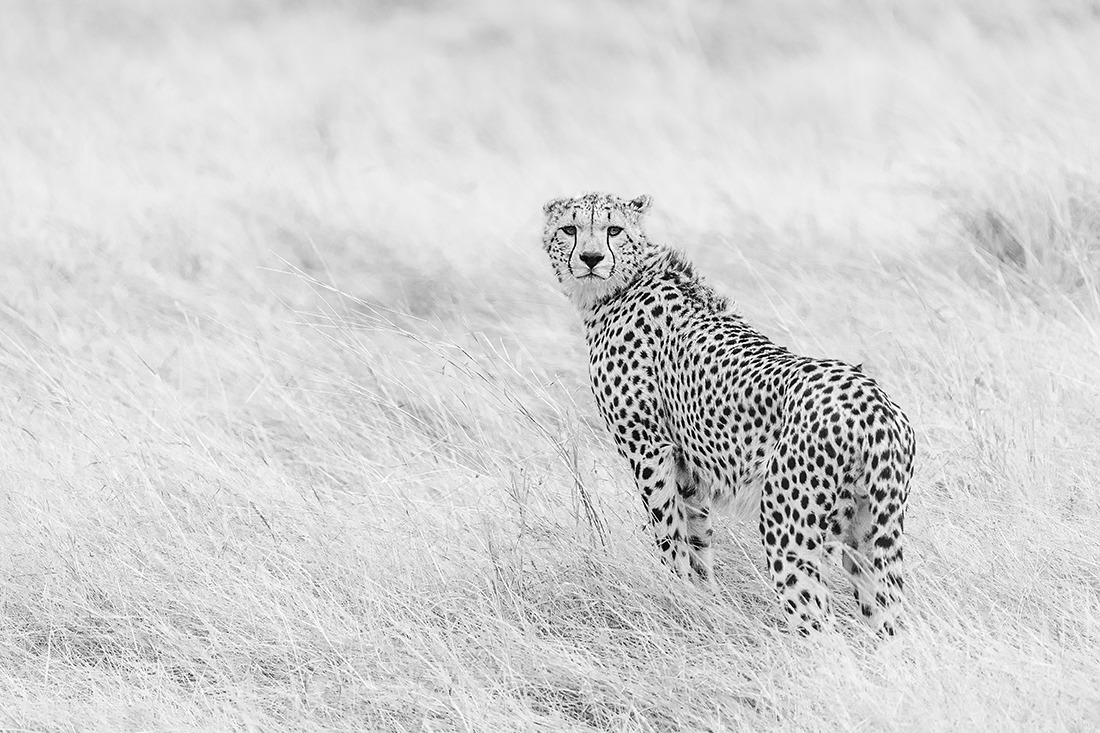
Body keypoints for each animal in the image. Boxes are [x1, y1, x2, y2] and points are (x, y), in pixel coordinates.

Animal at [540, 191, 916, 635]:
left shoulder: (649, 450)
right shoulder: (688, 468)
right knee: (888, 622)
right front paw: (705, 599)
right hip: (874, 534)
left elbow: (668, 534)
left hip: (788, 531)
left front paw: (677, 597)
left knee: (819, 627)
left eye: (613, 229)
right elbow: (697, 537)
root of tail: (871, 400)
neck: (624, 283)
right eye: (570, 229)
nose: (591, 257)